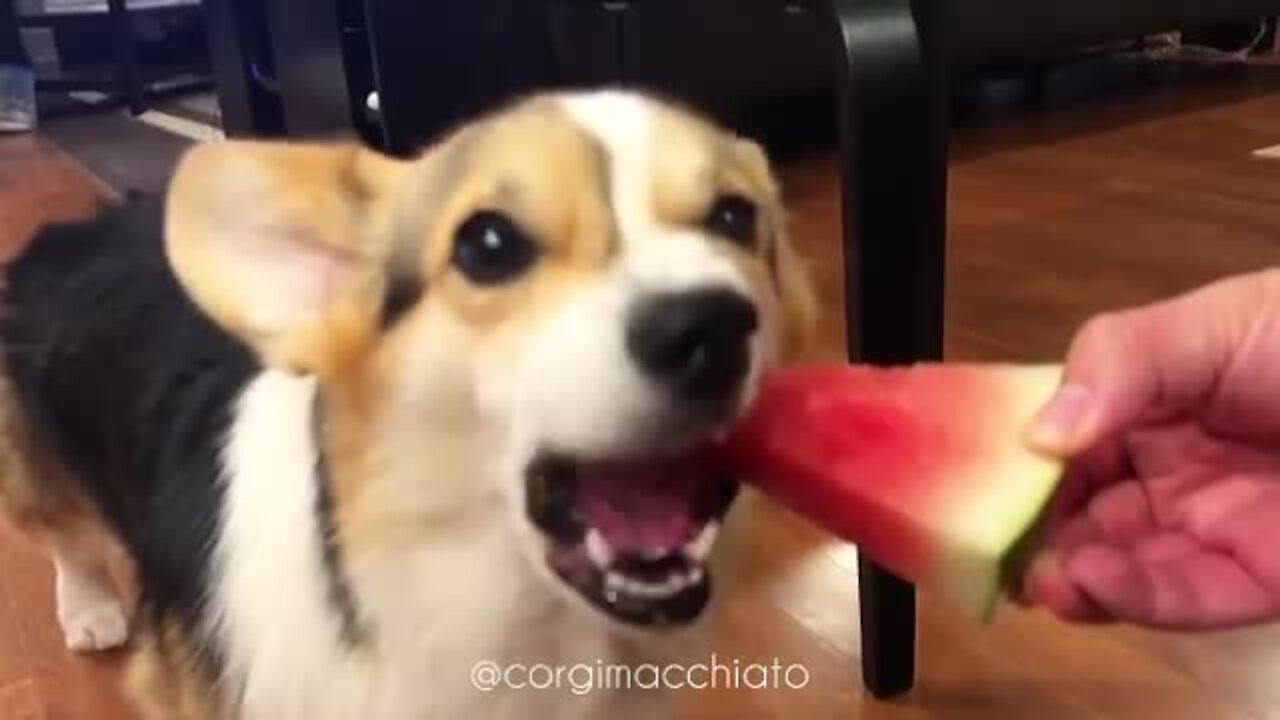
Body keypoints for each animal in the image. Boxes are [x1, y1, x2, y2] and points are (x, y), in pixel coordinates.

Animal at [0, 89, 814, 717]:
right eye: (488, 244)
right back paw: (91, 609)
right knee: (62, 535)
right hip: (36, 466)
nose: (709, 328)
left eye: (736, 218)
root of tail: (70, 229)